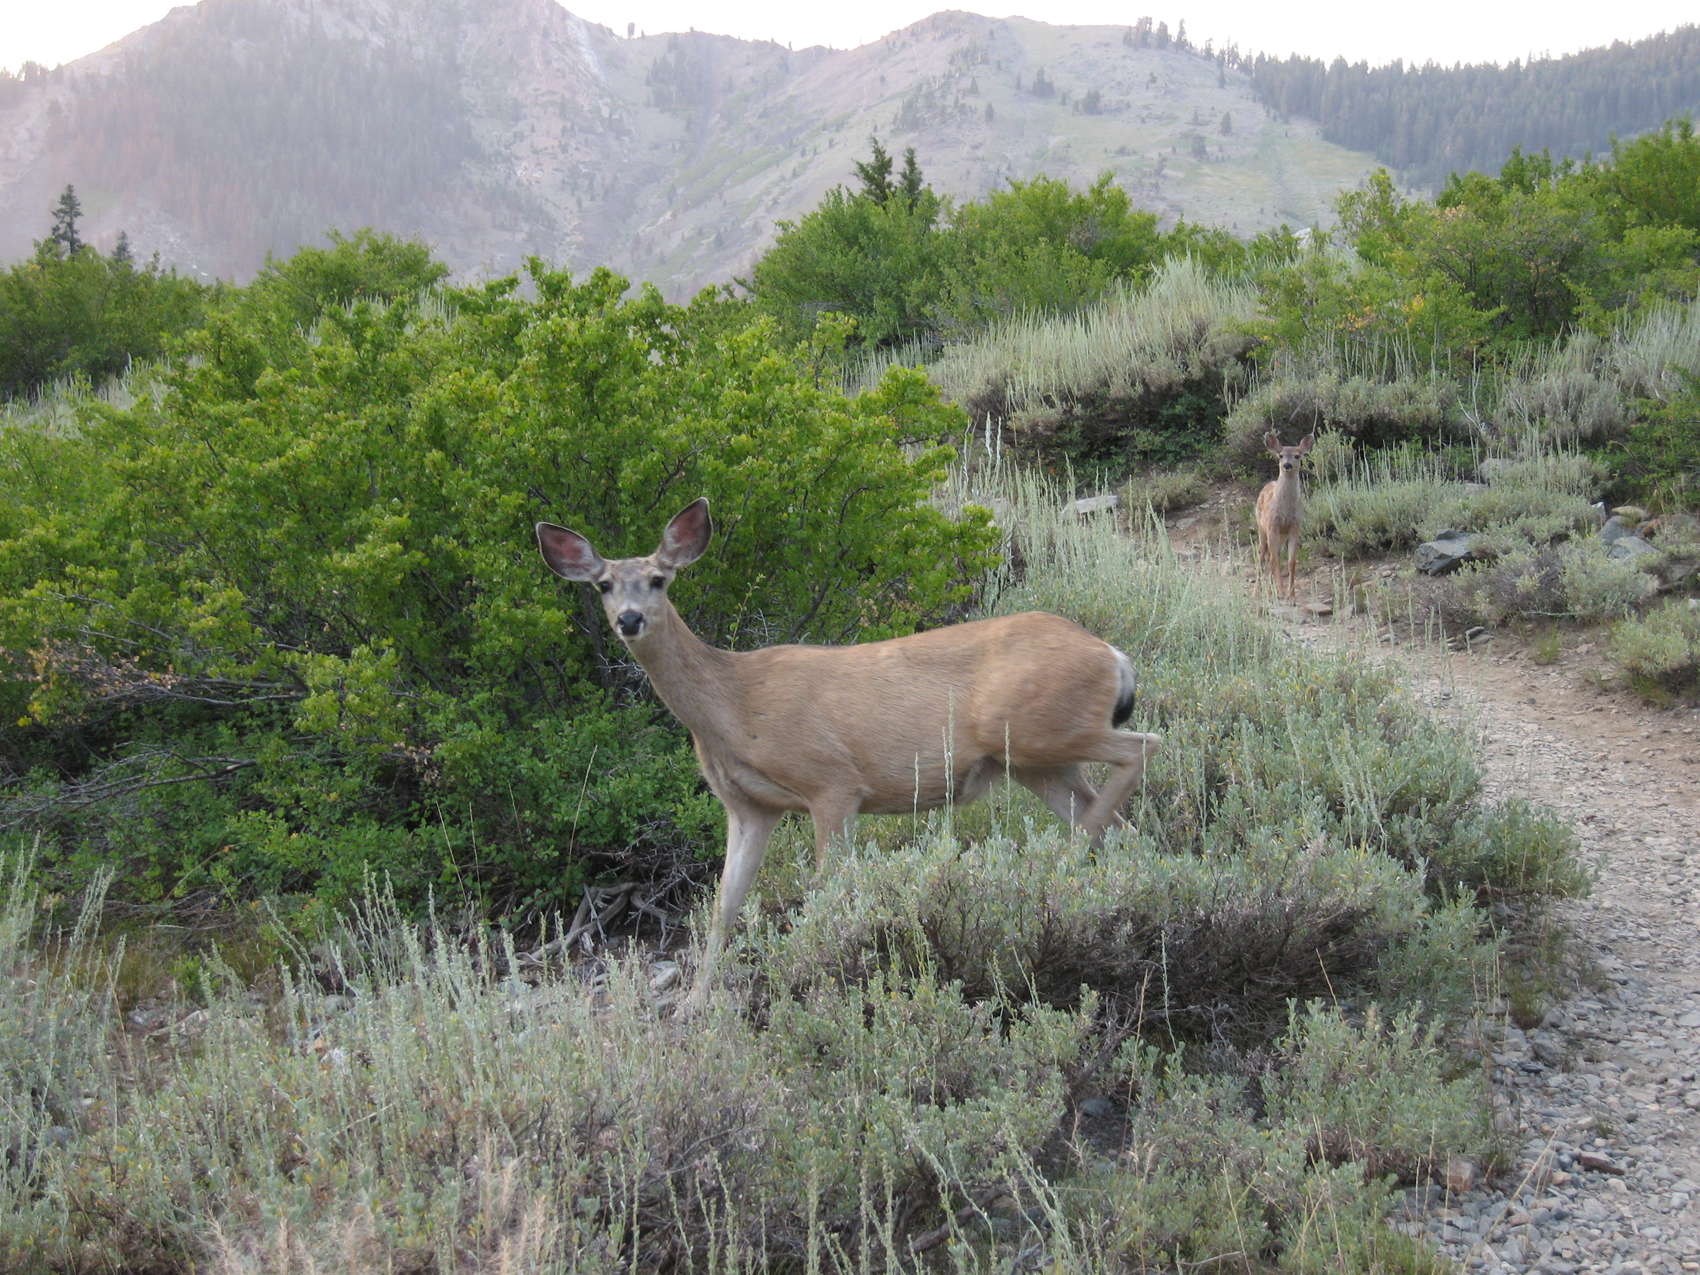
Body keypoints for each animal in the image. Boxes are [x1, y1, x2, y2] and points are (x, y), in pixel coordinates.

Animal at [536, 497, 1161, 1012]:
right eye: (603, 585)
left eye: (659, 579)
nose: (630, 619)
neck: (735, 706)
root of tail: (1112, 654)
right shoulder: (748, 807)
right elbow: (723, 906)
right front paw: (693, 1004)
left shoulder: (831, 782)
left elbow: (828, 890)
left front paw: (824, 980)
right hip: (1034, 762)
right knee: (1115, 818)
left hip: (1039, 729)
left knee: (1141, 749)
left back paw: (1062, 870)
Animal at [1254, 432, 1313, 602]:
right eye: (1280, 455)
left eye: (1297, 455)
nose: (1287, 465)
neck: (1285, 511)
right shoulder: (1272, 526)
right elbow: (1274, 560)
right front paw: (1280, 592)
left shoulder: (1295, 527)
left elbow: (1291, 561)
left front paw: (1291, 596)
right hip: (1262, 529)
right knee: (1263, 557)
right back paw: (1257, 593)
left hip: (1281, 536)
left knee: (1272, 557)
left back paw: (1269, 591)